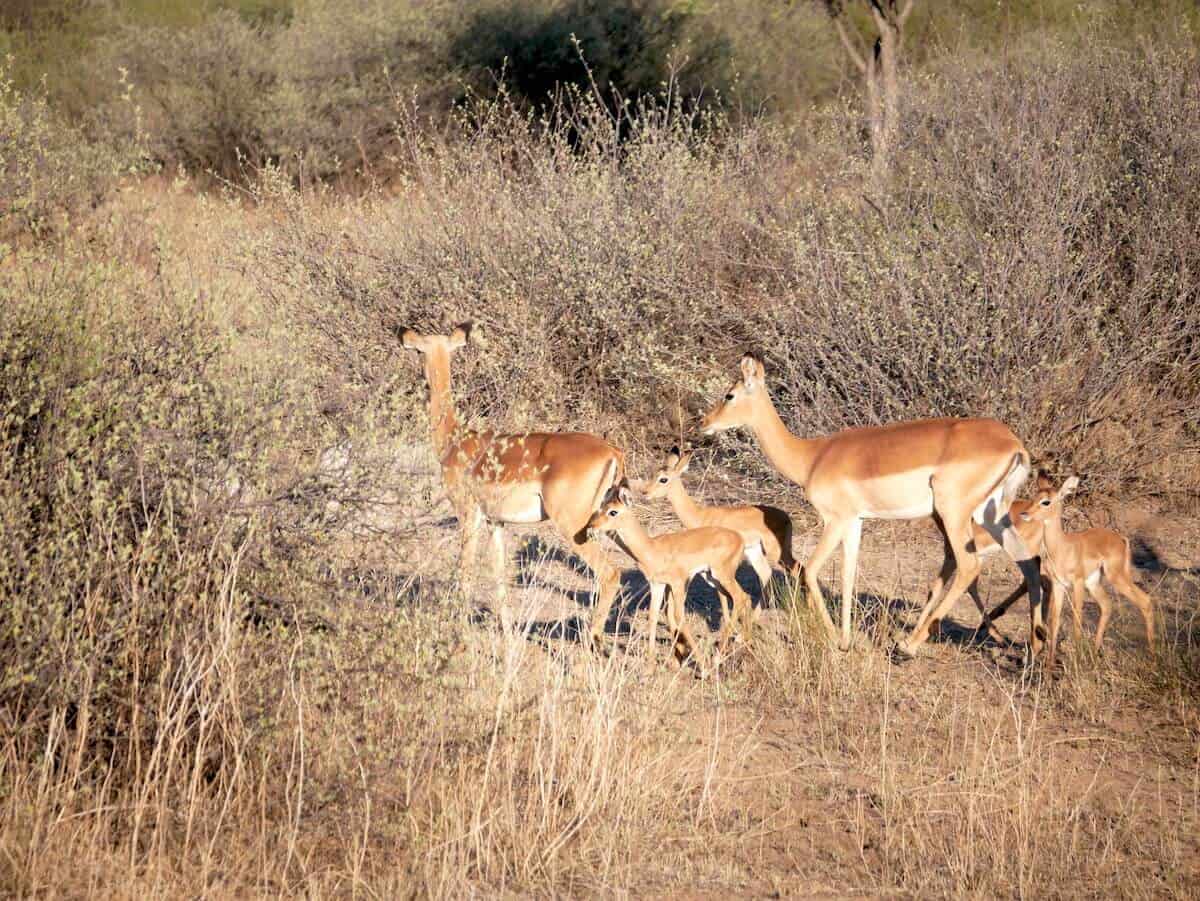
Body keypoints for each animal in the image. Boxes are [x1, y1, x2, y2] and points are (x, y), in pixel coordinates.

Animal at [402, 325, 626, 640]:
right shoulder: (496, 522)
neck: (456, 440)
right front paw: (507, 633)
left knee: (610, 573)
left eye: (420, 350)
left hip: (574, 526)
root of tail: (612, 451)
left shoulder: (468, 515)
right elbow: (499, 576)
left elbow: (465, 571)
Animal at [586, 484, 755, 666]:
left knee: (740, 597)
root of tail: (739, 539)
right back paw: (745, 643)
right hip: (712, 578)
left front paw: (703, 666)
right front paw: (651, 664)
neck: (652, 549)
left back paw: (718, 657)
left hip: (722, 575)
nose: (591, 526)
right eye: (602, 507)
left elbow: (679, 617)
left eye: (613, 511)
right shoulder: (657, 584)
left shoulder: (679, 583)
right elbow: (653, 617)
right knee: (746, 597)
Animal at [641, 446, 799, 611]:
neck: (700, 515)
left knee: (796, 569)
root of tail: (786, 517)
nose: (644, 493)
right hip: (755, 552)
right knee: (767, 574)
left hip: (777, 552)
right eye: (654, 474)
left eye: (663, 479)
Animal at [700, 354, 1043, 657]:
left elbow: (811, 570)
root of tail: (1014, 444)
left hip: (954, 513)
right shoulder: (856, 521)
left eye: (730, 394)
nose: (704, 422)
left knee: (970, 566)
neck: (812, 457)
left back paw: (908, 646)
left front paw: (833, 638)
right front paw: (845, 640)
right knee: (1028, 563)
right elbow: (848, 574)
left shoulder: (835, 519)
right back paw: (1035, 649)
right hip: (992, 514)